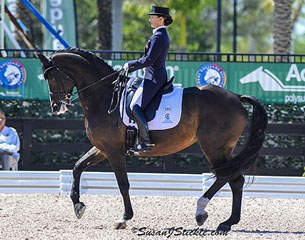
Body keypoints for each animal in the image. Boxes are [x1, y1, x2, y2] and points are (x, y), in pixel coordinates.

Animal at [37, 47, 266, 232]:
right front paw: (78, 205)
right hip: (222, 148)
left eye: (51, 77)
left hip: (214, 147)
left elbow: (123, 183)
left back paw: (201, 212)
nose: (56, 107)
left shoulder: (113, 151)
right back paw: (227, 222)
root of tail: (236, 97)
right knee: (235, 179)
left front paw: (123, 218)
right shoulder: (102, 148)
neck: (104, 95)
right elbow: (77, 167)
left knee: (226, 176)